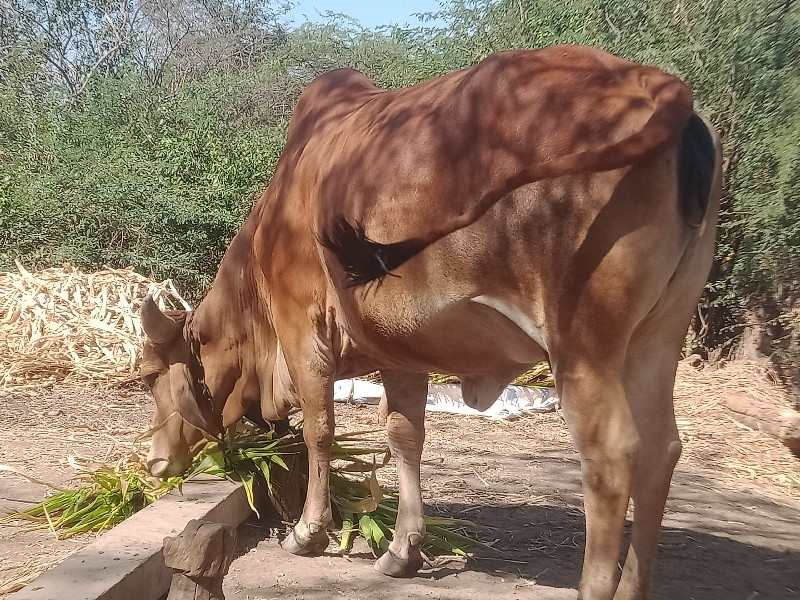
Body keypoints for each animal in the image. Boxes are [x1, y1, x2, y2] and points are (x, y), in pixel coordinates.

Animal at [141, 43, 720, 600]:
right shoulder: (400, 350)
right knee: (663, 449)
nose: (154, 463)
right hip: (656, 338)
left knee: (612, 457)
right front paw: (403, 550)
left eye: (148, 377)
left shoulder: (301, 327)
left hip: (582, 345)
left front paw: (308, 532)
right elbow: (405, 437)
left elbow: (320, 429)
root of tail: (657, 85)